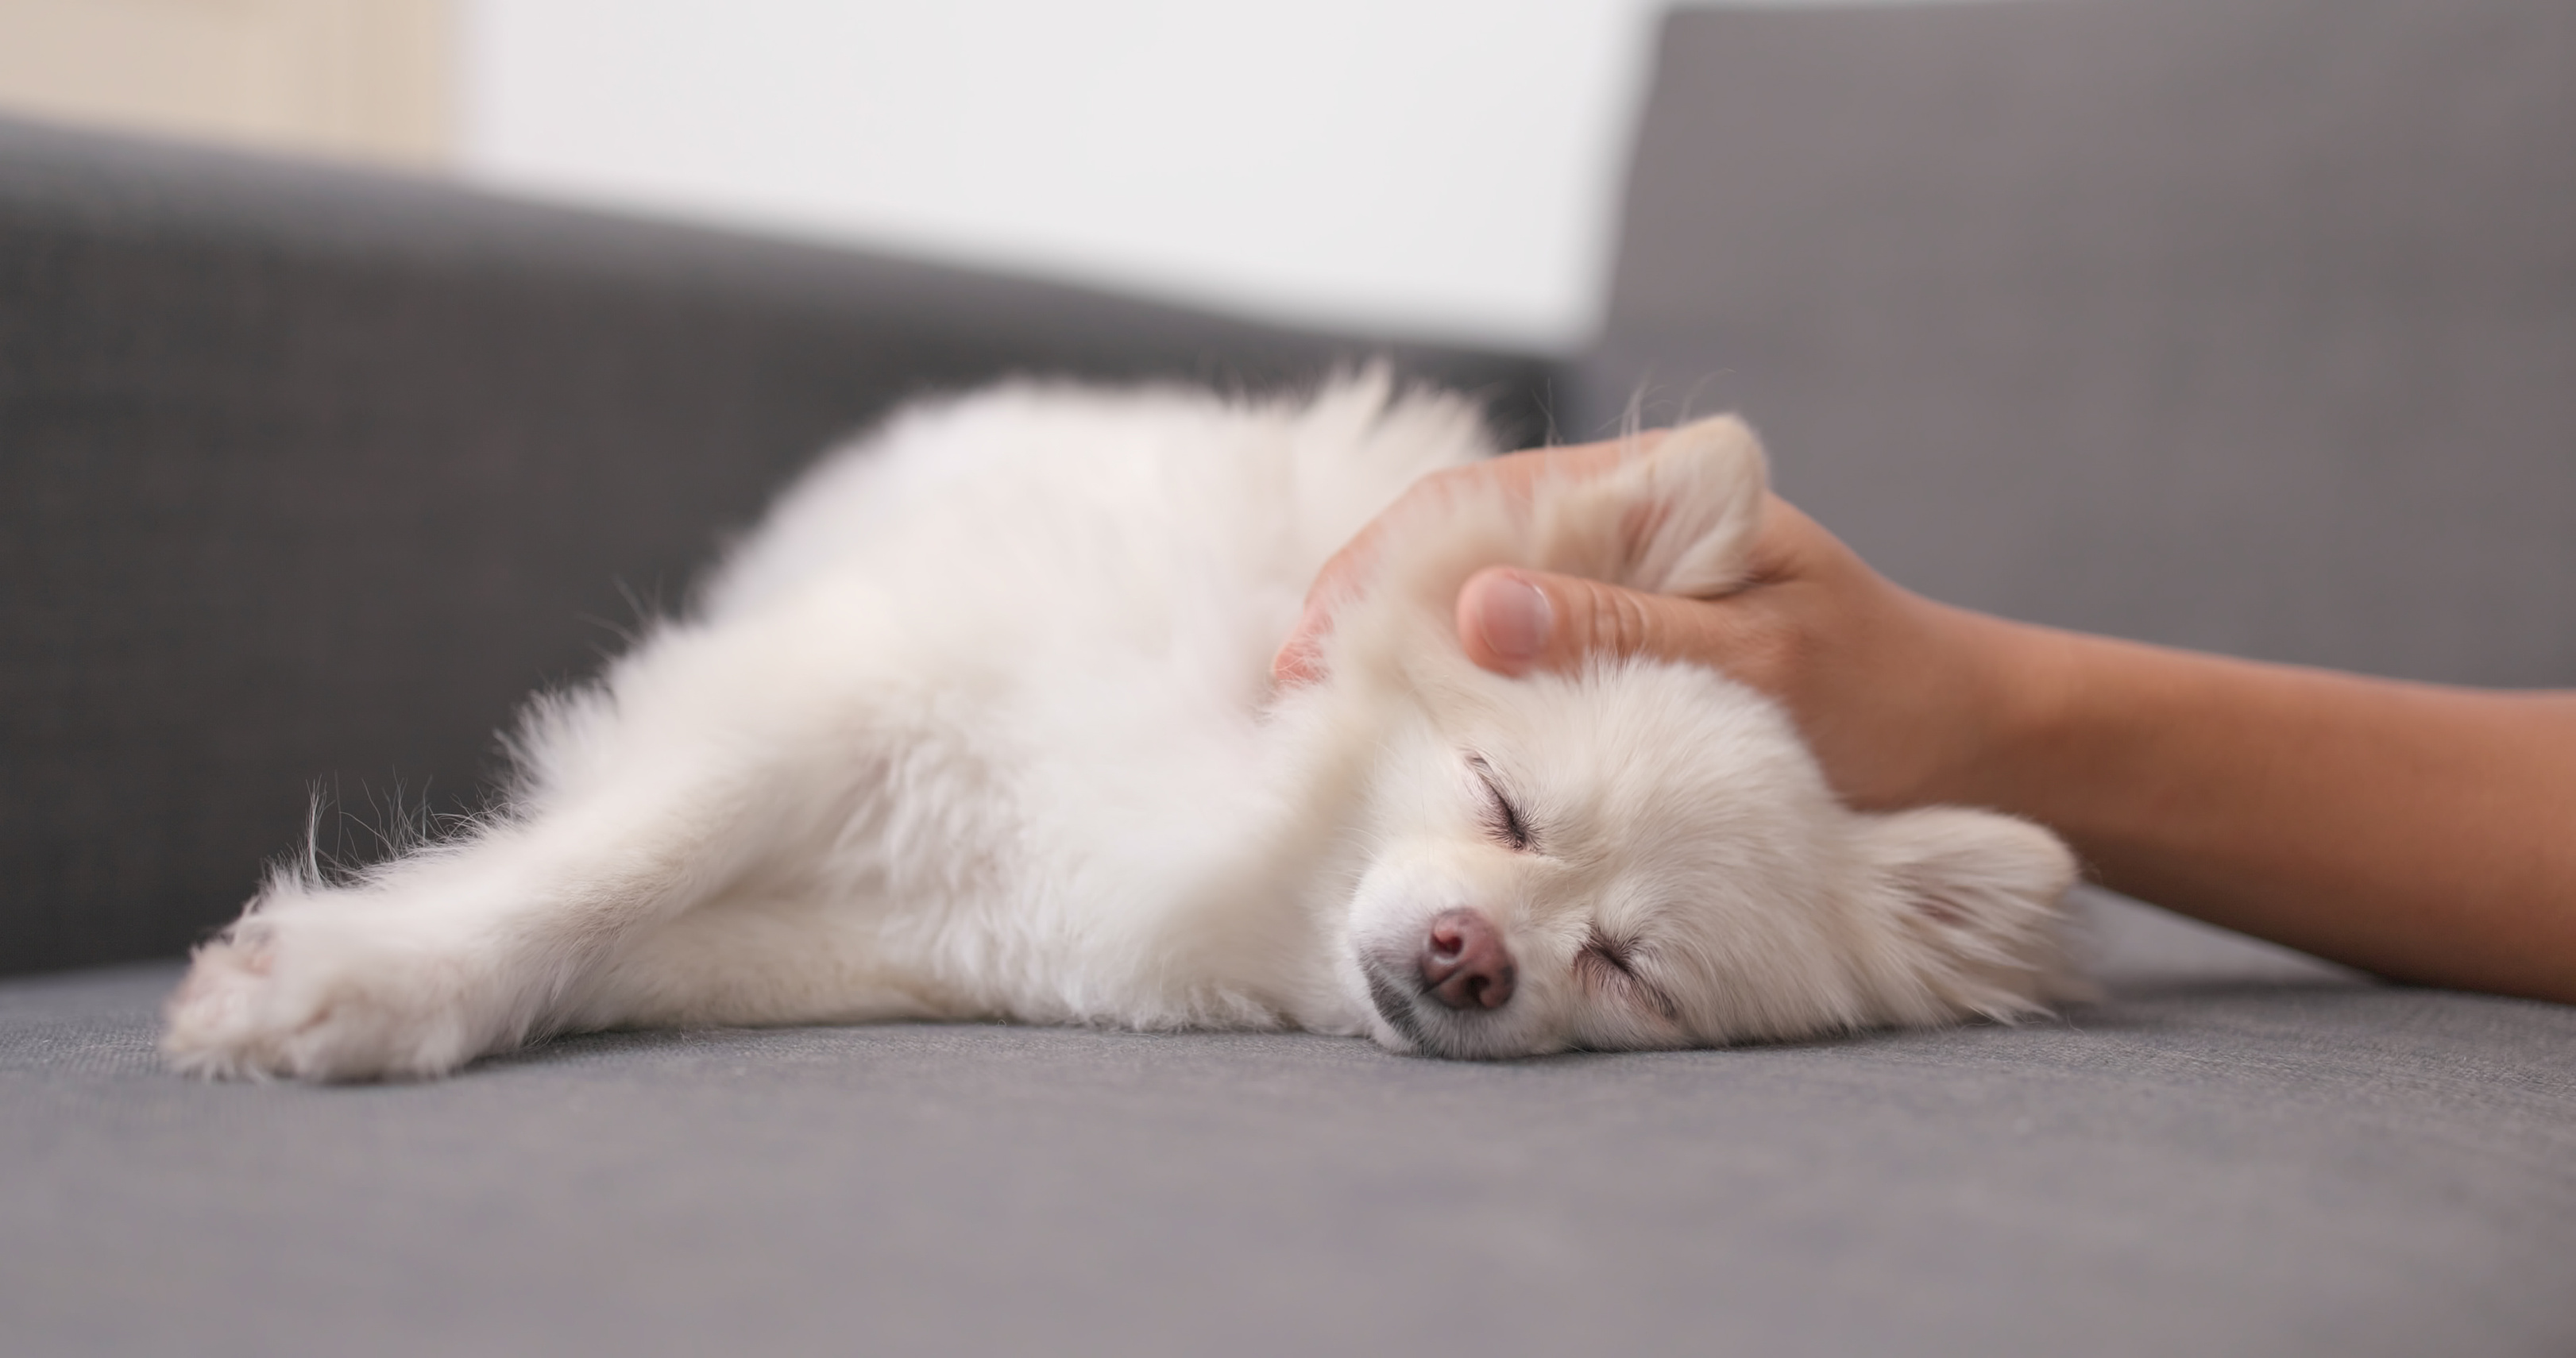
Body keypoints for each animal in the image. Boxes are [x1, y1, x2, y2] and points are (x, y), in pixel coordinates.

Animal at [160, 371, 2081, 1082]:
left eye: (1627, 970)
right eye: (1502, 803)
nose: (1470, 958)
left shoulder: (899, 938)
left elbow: (635, 940)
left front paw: (375, 981)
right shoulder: (833, 700)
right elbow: (622, 857)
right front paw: (359, 975)